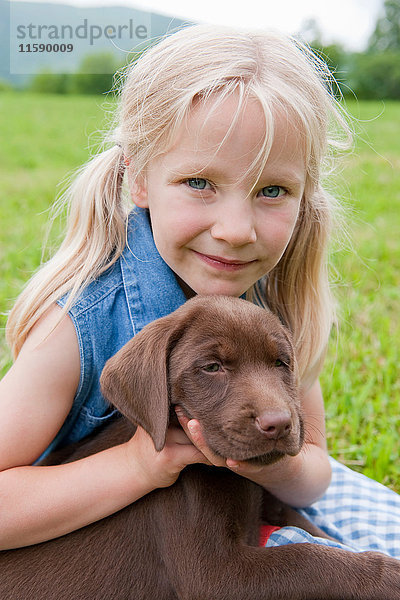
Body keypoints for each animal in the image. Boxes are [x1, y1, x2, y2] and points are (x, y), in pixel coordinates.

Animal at [0, 296, 400, 600]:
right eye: (212, 367)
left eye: (281, 363)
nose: (279, 423)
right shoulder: (217, 573)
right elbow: (308, 558)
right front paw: (388, 575)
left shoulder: (270, 503)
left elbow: (316, 533)